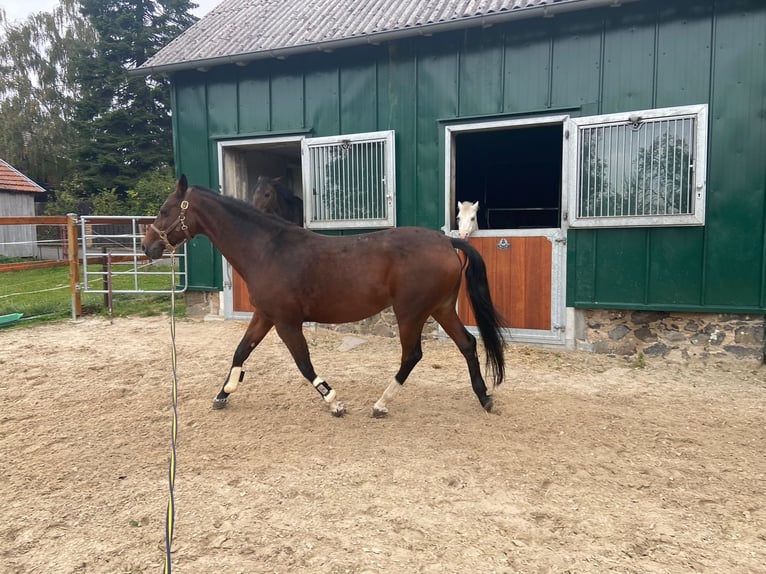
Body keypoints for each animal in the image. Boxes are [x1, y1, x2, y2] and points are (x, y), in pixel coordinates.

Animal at [143, 175, 506, 417]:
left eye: (164, 210)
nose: (148, 247)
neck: (267, 249)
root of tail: (446, 241)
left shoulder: (287, 322)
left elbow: (303, 363)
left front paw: (334, 401)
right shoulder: (265, 316)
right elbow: (240, 352)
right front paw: (222, 394)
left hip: (411, 313)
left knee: (412, 355)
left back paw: (380, 404)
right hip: (441, 308)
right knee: (467, 345)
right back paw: (484, 397)